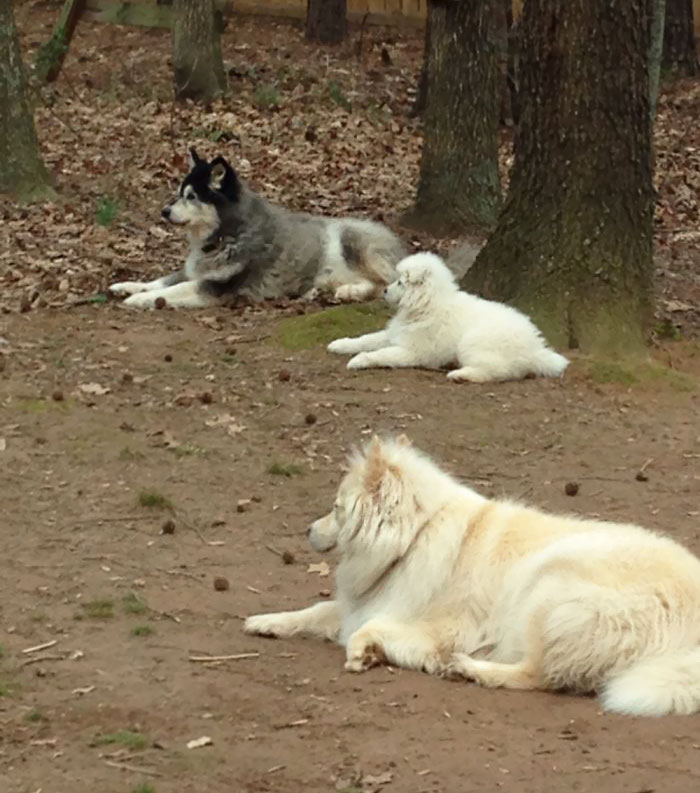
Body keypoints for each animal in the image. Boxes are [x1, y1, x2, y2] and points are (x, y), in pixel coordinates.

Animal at [245, 436, 700, 716]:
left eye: (336, 508)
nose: (307, 530)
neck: (413, 538)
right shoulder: (365, 603)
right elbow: (315, 611)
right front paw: (266, 622)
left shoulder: (441, 627)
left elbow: (366, 630)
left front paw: (367, 653)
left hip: (549, 592)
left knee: (536, 675)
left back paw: (470, 669)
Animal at [328, 251, 568, 380]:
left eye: (401, 282)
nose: (385, 291)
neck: (427, 304)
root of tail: (536, 350)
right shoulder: (395, 335)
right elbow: (366, 339)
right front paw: (339, 344)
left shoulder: (414, 351)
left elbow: (380, 354)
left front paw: (358, 361)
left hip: (473, 342)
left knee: (498, 372)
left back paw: (460, 375)